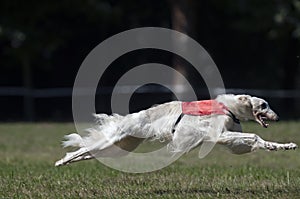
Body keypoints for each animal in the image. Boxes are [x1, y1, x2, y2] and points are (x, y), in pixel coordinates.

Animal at [55, 93, 296, 166]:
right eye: (264, 105)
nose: (277, 117)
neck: (230, 107)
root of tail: (128, 118)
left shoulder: (229, 137)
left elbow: (258, 140)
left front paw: (285, 145)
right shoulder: (220, 134)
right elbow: (254, 135)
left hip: (122, 145)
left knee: (87, 152)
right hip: (113, 140)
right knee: (80, 150)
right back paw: (61, 161)